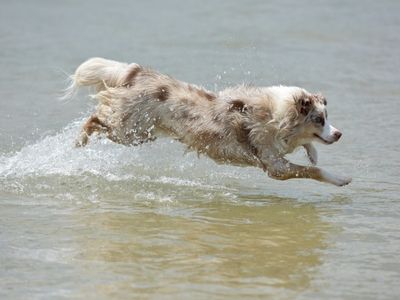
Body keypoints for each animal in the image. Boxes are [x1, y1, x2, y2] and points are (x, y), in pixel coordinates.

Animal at [64, 57, 352, 186]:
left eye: (327, 118)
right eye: (319, 119)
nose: (339, 134)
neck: (277, 116)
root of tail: (138, 72)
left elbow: (309, 153)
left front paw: (312, 153)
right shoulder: (275, 166)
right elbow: (313, 171)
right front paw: (340, 178)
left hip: (143, 133)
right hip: (130, 132)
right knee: (94, 119)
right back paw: (78, 141)